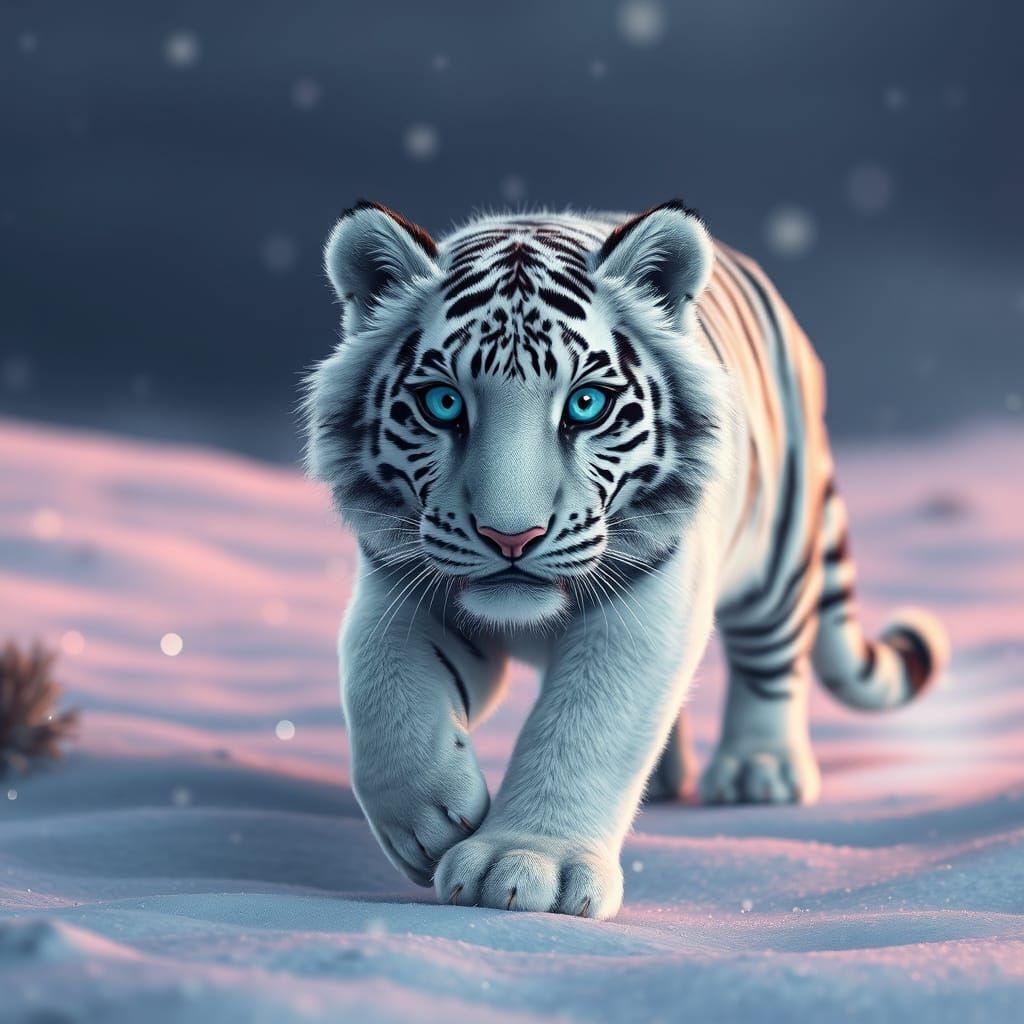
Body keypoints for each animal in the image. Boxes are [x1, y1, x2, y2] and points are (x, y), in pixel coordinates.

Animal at [303, 199, 949, 920]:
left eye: (587, 405)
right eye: (443, 404)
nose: (511, 537)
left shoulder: (648, 599)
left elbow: (589, 722)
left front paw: (526, 864)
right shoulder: (403, 582)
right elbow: (378, 682)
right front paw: (428, 820)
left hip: (776, 557)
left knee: (770, 659)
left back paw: (759, 772)